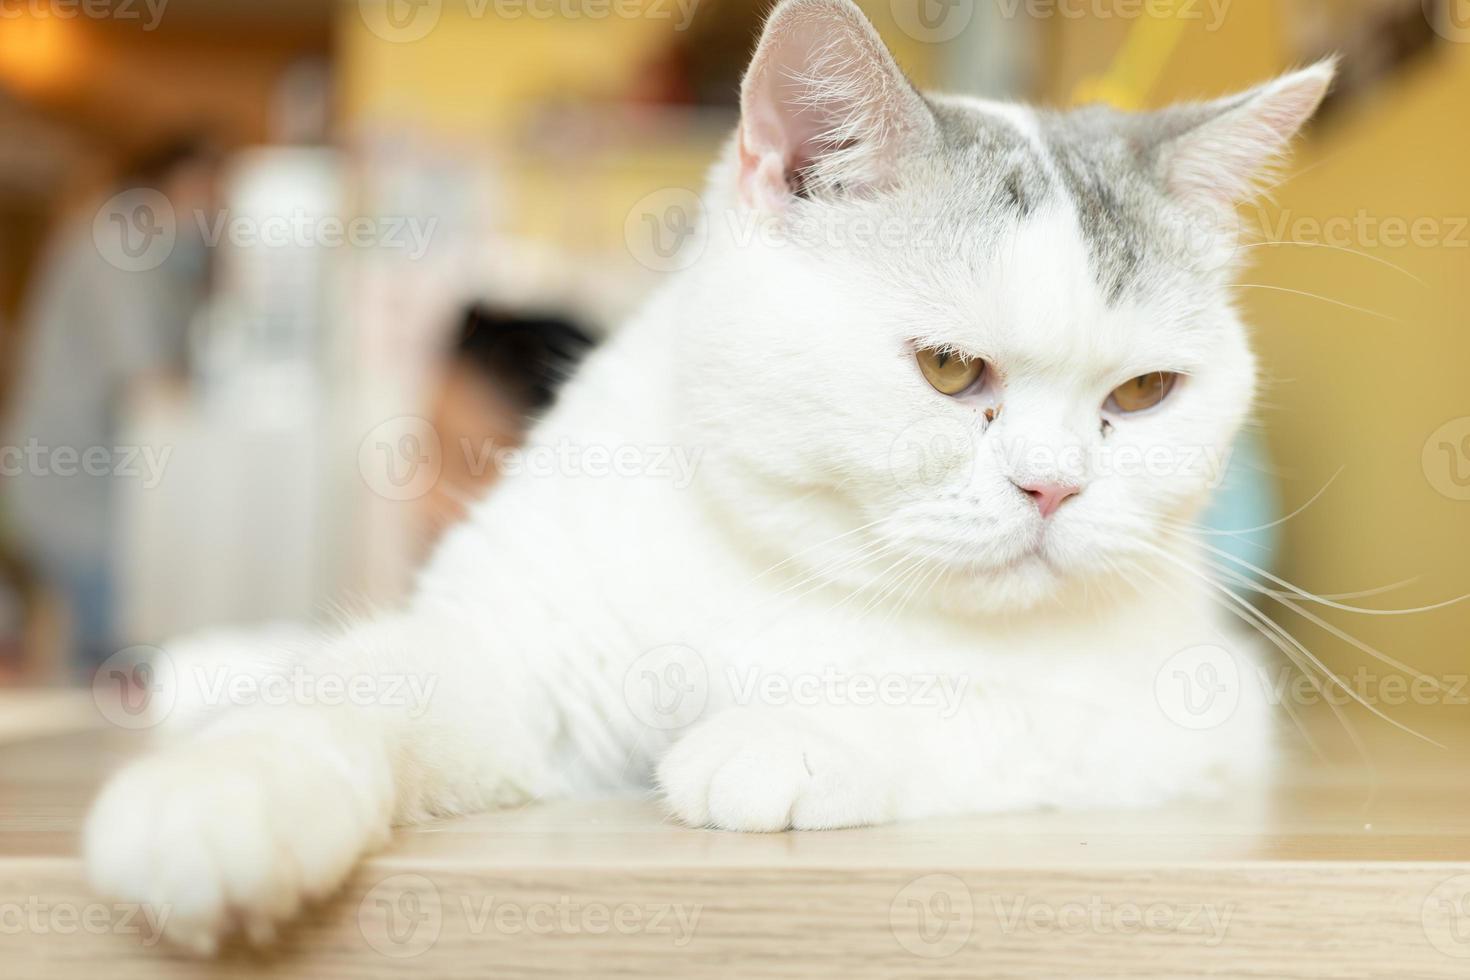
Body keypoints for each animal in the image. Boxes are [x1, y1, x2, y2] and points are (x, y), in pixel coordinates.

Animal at [85, 0, 1340, 952]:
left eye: (1145, 394)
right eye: (948, 368)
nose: (1056, 489)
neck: (790, 562)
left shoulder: (1194, 709)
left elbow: (982, 702)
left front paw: (785, 735)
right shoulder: (505, 656)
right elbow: (340, 698)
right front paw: (217, 798)